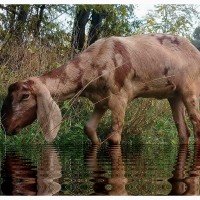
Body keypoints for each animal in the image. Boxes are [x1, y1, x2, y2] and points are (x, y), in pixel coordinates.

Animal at [1, 33, 200, 145]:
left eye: (25, 95)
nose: (6, 125)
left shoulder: (120, 98)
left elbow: (114, 137)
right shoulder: (101, 101)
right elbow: (88, 128)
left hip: (190, 89)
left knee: (196, 125)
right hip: (173, 95)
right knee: (184, 132)